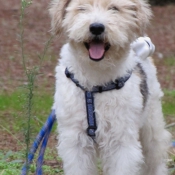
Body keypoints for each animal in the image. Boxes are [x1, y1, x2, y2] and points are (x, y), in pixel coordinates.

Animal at [49, 0, 171, 174]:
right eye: (82, 8)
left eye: (114, 8)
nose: (96, 27)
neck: (96, 81)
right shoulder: (75, 141)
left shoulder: (121, 141)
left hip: (151, 127)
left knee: (156, 159)